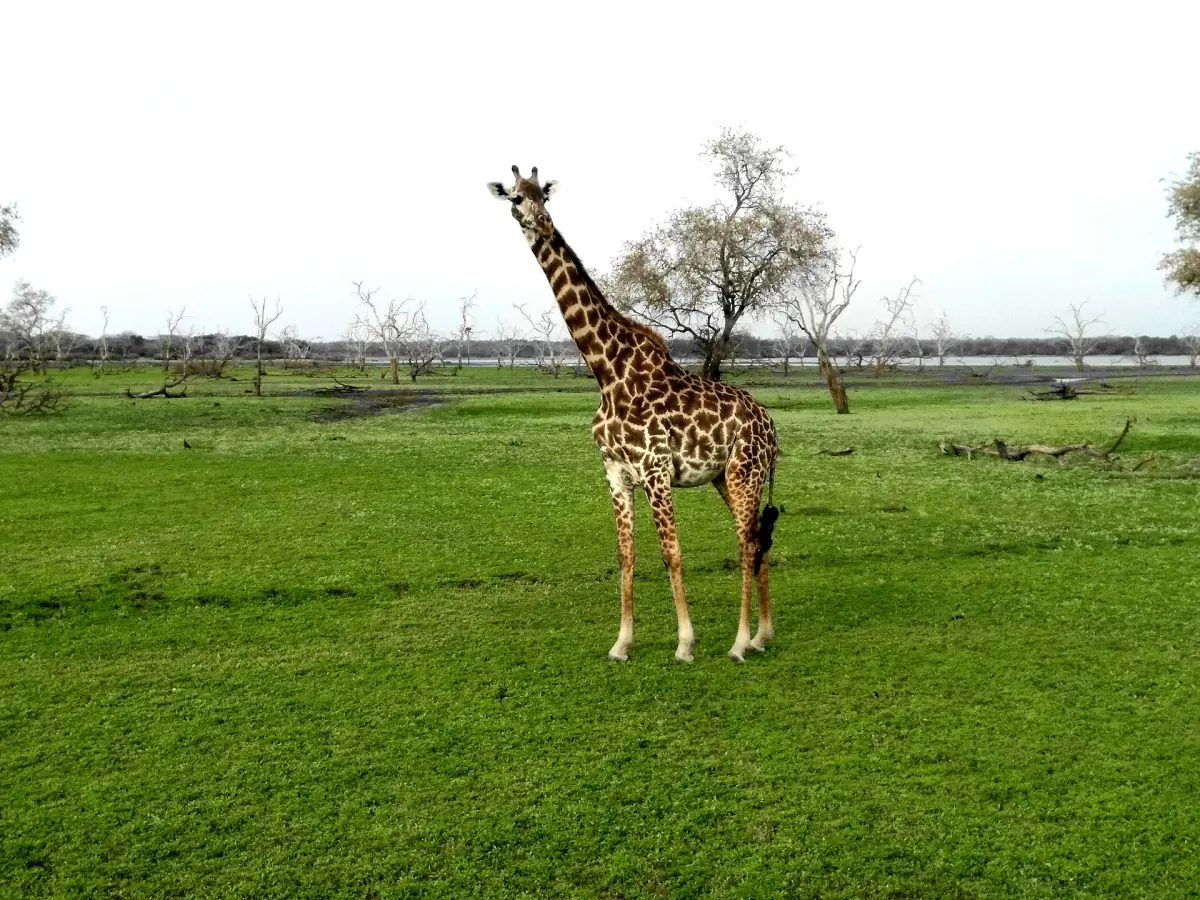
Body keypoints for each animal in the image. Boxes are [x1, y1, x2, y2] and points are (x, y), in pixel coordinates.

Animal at [487, 166, 781, 662]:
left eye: (543, 194)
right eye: (513, 197)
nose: (539, 221)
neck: (607, 372)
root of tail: (772, 427)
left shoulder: (656, 469)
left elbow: (671, 552)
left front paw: (684, 643)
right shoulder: (615, 471)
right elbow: (626, 555)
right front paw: (621, 643)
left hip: (746, 472)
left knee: (746, 543)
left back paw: (740, 642)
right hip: (727, 478)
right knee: (758, 537)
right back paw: (762, 635)